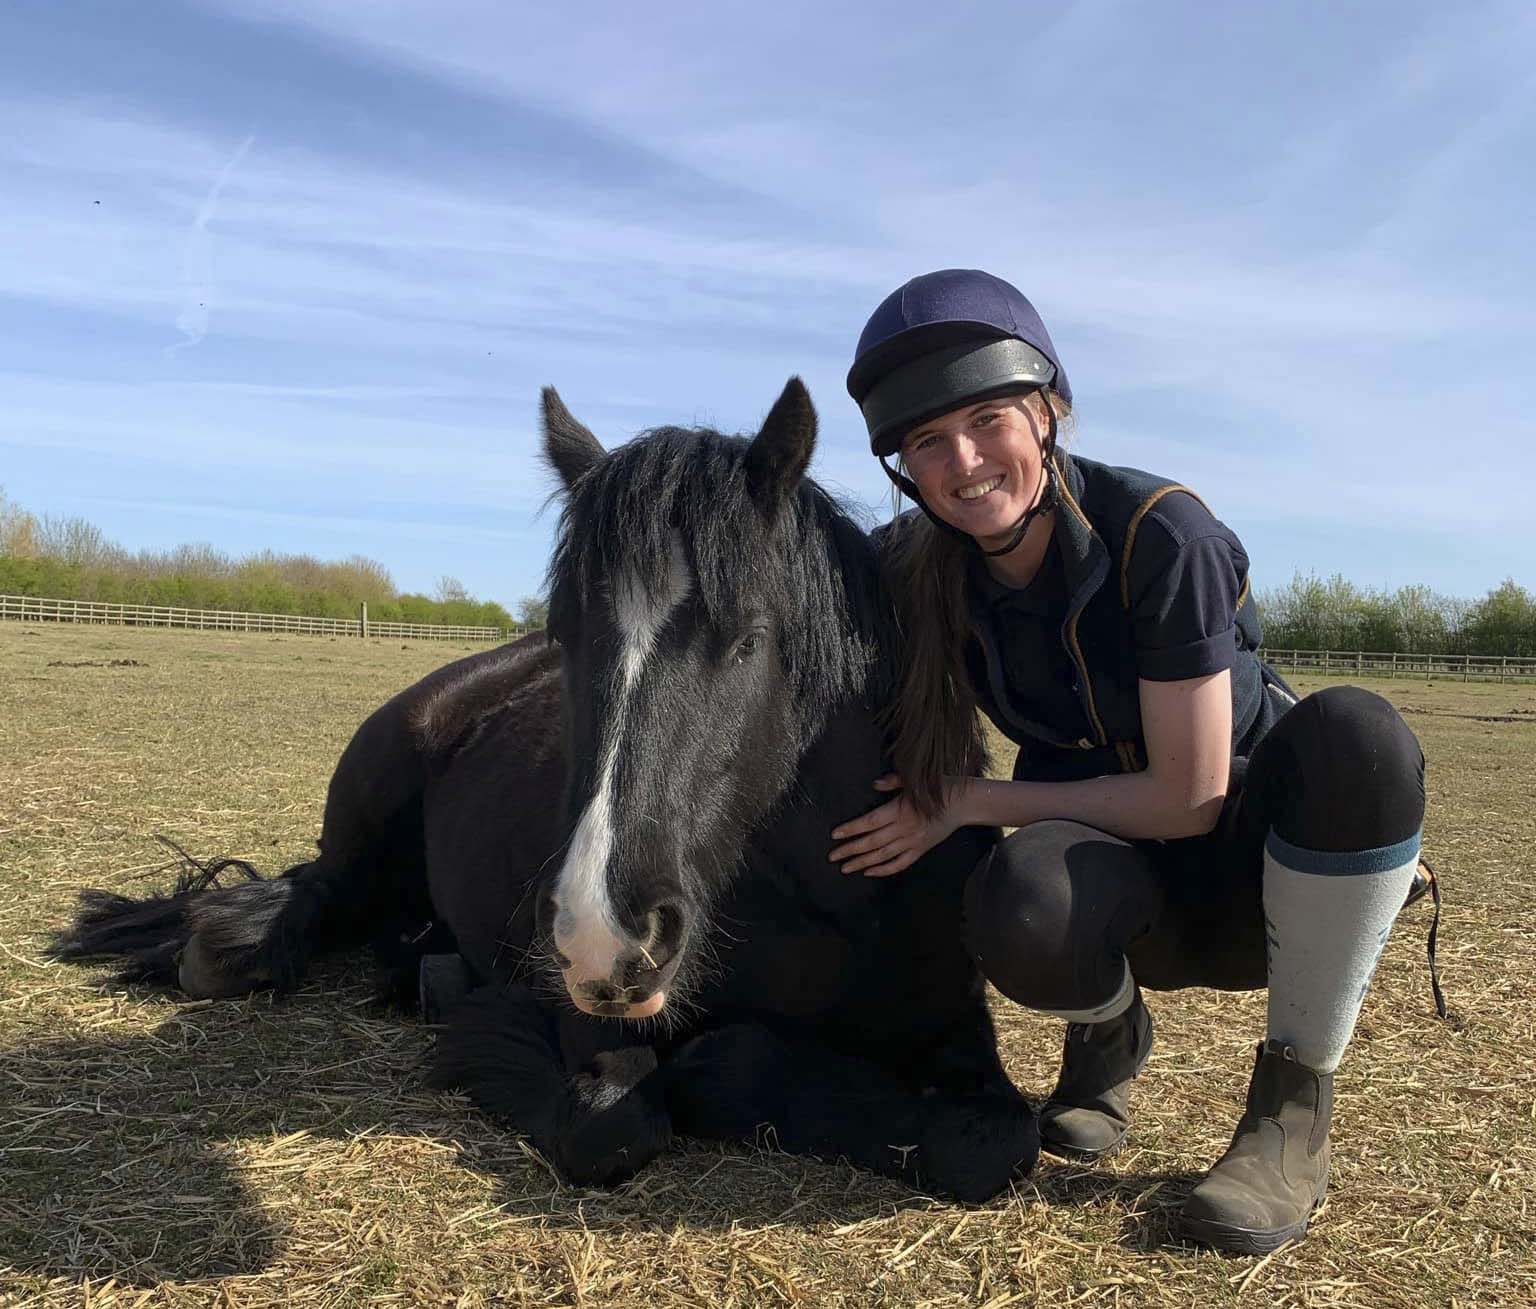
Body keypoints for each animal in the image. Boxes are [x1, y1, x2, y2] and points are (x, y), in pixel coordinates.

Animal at [48, 376, 1038, 1198]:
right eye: (566, 634)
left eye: (750, 639)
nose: (605, 931)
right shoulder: (596, 1025)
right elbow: (613, 1126)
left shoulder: (962, 1042)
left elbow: (991, 1145)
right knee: (298, 904)